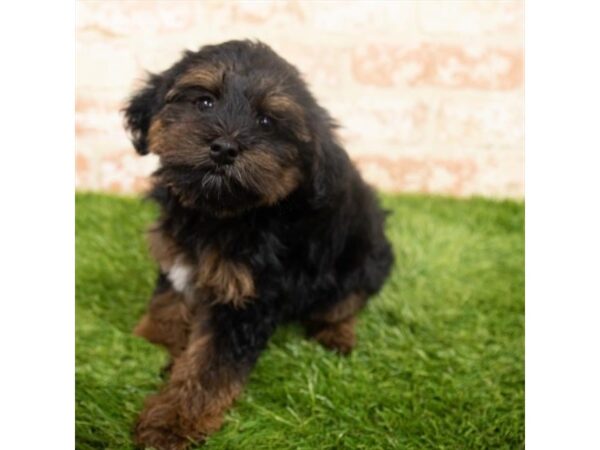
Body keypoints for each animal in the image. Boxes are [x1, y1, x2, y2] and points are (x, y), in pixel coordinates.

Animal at [124, 40, 394, 448]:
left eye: (266, 122)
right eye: (204, 102)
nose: (224, 148)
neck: (219, 213)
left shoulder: (247, 299)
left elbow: (211, 367)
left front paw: (172, 422)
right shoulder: (178, 257)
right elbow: (167, 302)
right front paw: (152, 340)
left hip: (364, 258)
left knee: (346, 301)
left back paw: (337, 334)